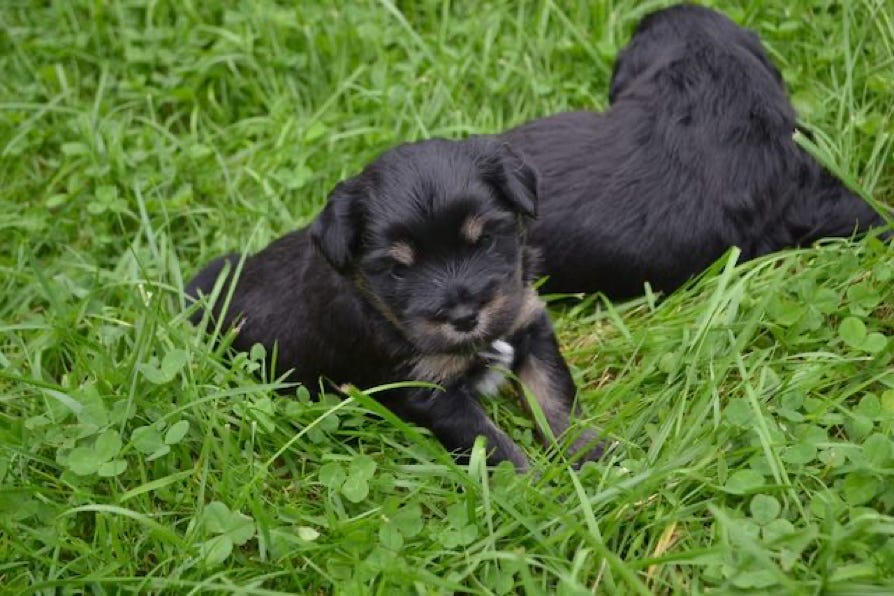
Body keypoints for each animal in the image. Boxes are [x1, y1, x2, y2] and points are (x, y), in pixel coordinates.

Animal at [186, 137, 601, 470]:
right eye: (399, 270)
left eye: (484, 241)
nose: (464, 317)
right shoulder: (430, 390)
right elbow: (491, 443)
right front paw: (532, 487)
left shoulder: (529, 325)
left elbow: (554, 399)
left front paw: (590, 456)